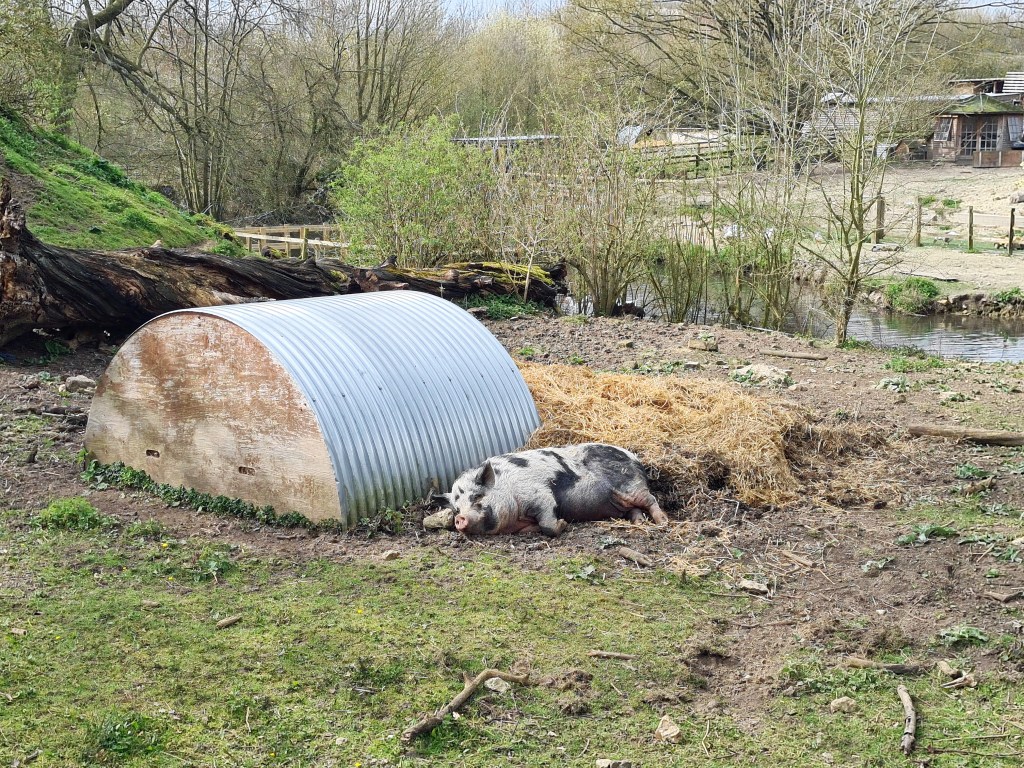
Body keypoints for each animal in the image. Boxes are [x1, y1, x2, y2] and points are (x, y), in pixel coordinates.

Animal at [439, 443, 668, 536]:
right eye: (456, 509)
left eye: (477, 497)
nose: (460, 519)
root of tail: (634, 457)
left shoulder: (542, 496)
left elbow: (548, 525)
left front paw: (563, 523)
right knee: (635, 509)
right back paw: (639, 523)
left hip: (631, 486)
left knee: (650, 499)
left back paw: (662, 522)